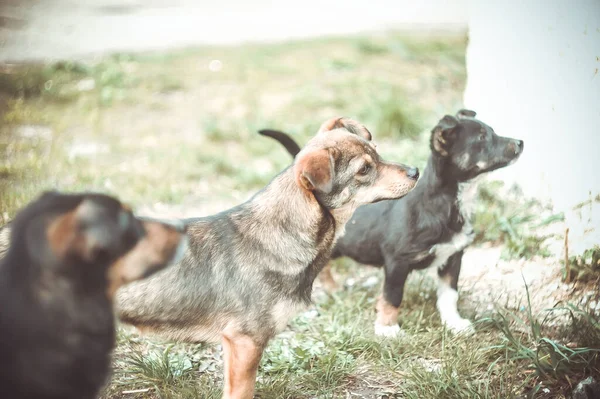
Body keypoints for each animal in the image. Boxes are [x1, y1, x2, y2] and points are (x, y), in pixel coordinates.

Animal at [115, 117, 420, 398]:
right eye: (364, 169)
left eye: (377, 152)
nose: (416, 170)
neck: (278, 234)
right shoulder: (245, 341)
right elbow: (242, 392)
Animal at [260, 109, 524, 338]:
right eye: (481, 138)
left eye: (492, 131)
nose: (521, 142)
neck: (448, 203)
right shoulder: (397, 261)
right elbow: (392, 296)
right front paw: (387, 328)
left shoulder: (453, 256)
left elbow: (449, 295)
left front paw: (454, 323)